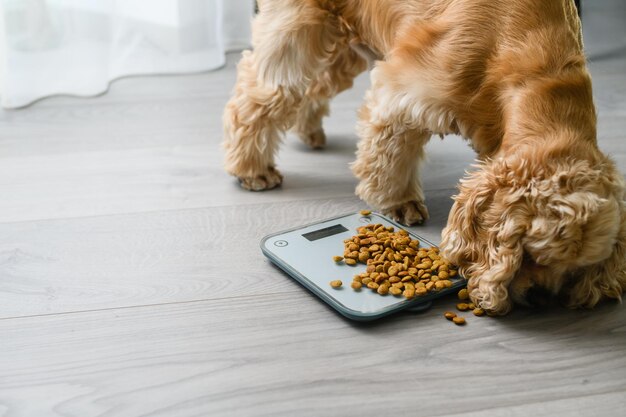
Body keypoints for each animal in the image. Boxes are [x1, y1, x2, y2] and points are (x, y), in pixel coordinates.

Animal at [222, 0, 620, 312]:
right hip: (300, 30)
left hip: (346, 47)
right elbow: (392, 154)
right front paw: (401, 203)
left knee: (314, 87)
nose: (541, 299)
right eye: (532, 255)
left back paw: (309, 132)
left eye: (575, 269)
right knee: (262, 94)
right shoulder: (405, 93)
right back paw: (252, 169)